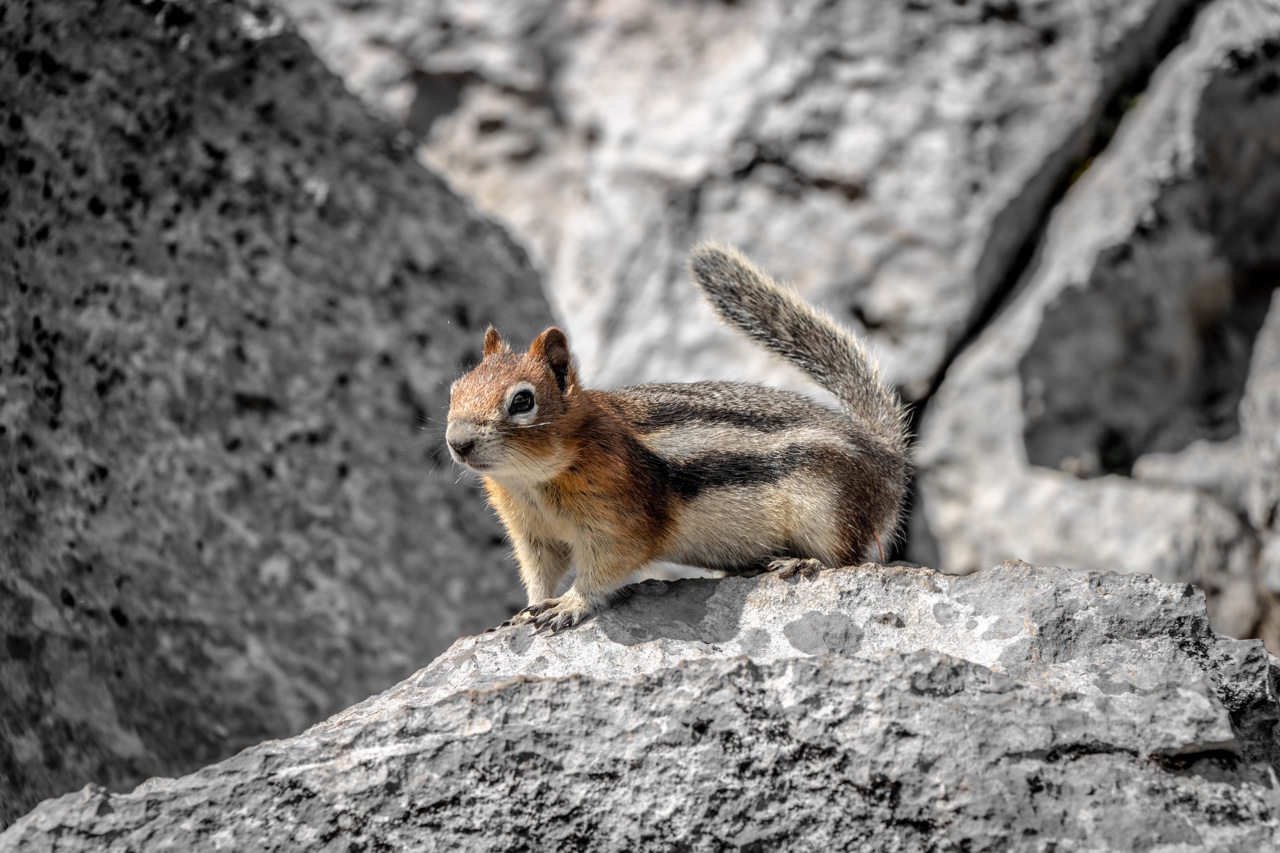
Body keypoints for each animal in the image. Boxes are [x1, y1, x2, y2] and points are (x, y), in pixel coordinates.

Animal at [450, 242, 911, 627]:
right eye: (455, 388)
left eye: (522, 401)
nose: (458, 442)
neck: (533, 481)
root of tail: (886, 455)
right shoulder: (533, 535)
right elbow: (539, 573)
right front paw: (524, 610)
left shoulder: (619, 523)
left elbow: (603, 570)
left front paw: (570, 605)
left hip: (829, 510)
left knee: (847, 560)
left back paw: (800, 564)